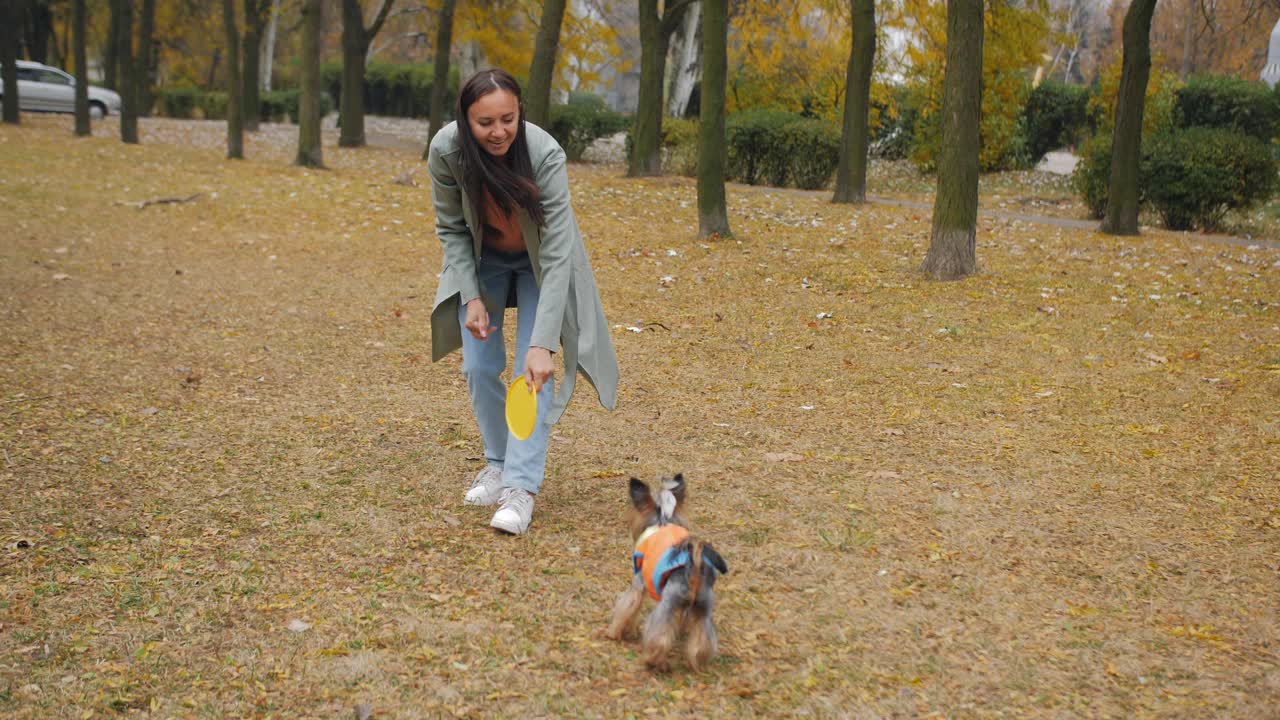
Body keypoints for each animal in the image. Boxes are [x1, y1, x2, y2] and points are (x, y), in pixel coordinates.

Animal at [601, 474, 727, 671]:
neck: (663, 522)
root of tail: (693, 566)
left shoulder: (638, 584)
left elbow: (628, 607)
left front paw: (615, 633)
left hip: (667, 604)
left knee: (659, 638)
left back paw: (652, 661)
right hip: (703, 607)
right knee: (703, 638)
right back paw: (698, 660)